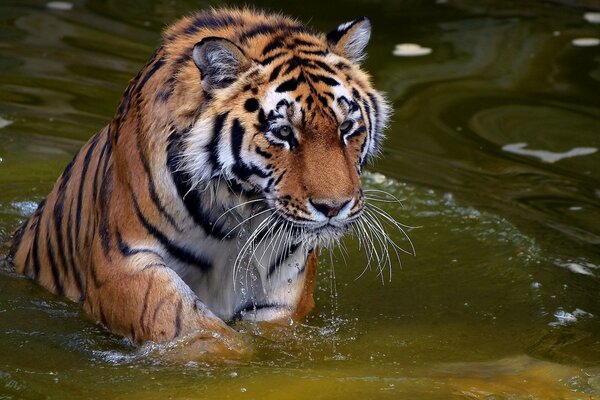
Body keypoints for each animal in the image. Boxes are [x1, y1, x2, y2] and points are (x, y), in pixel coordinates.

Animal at [9, 7, 394, 354]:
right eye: (283, 132)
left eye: (347, 127)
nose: (334, 207)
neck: (237, 216)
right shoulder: (121, 259)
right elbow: (184, 322)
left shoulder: (283, 281)